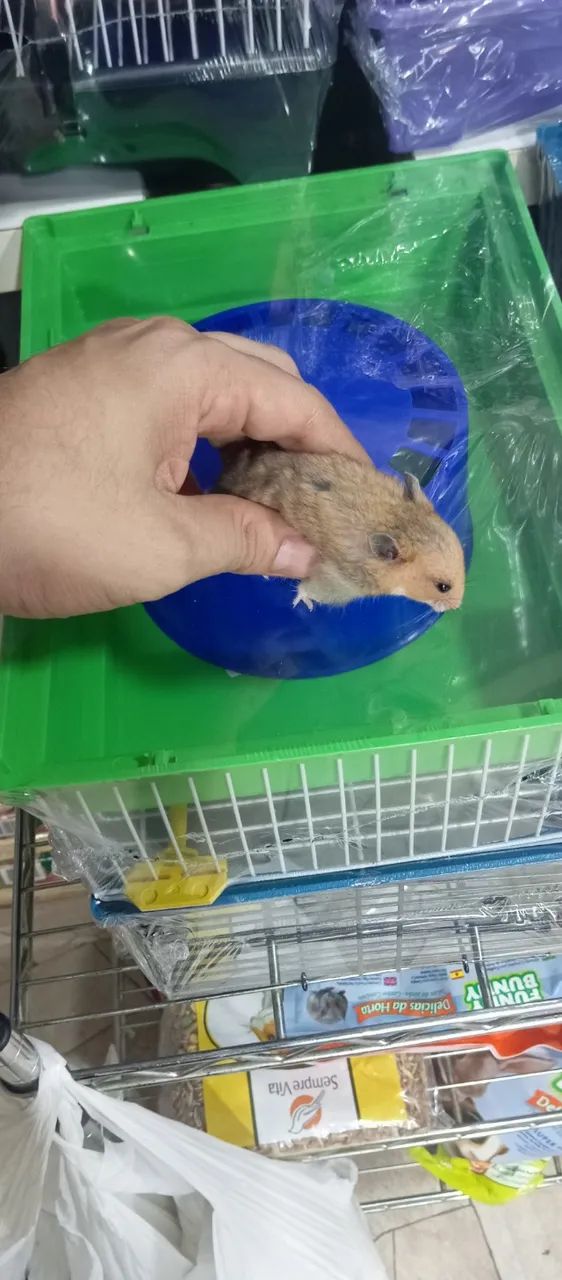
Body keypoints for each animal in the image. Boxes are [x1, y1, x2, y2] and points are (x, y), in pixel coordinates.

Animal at [219, 442, 465, 612]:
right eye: (443, 587)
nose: (457, 607)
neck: (396, 523)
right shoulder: (341, 584)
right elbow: (308, 588)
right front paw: (303, 604)